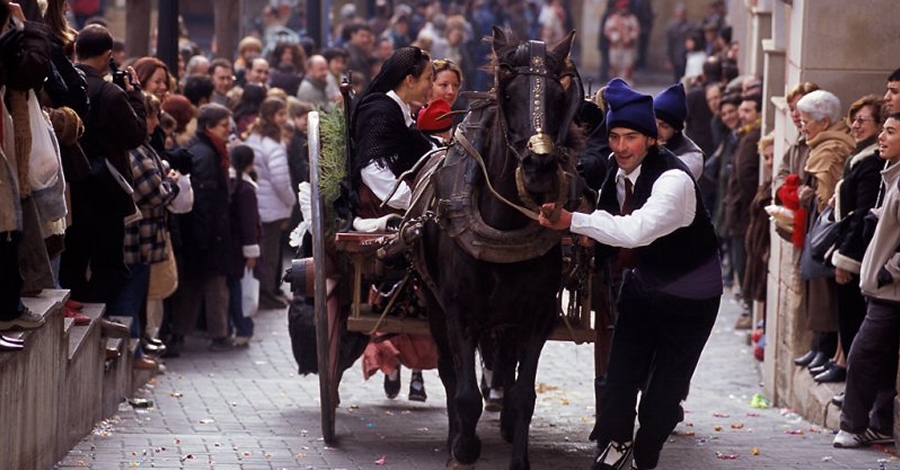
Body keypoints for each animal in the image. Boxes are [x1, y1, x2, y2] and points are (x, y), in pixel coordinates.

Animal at [408, 29, 584, 470]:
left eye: (559, 96)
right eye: (507, 92)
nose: (539, 169)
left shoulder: (537, 317)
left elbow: (524, 394)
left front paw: (518, 457)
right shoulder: (459, 314)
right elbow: (465, 393)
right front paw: (464, 449)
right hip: (435, 308)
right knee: (449, 373)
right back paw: (455, 438)